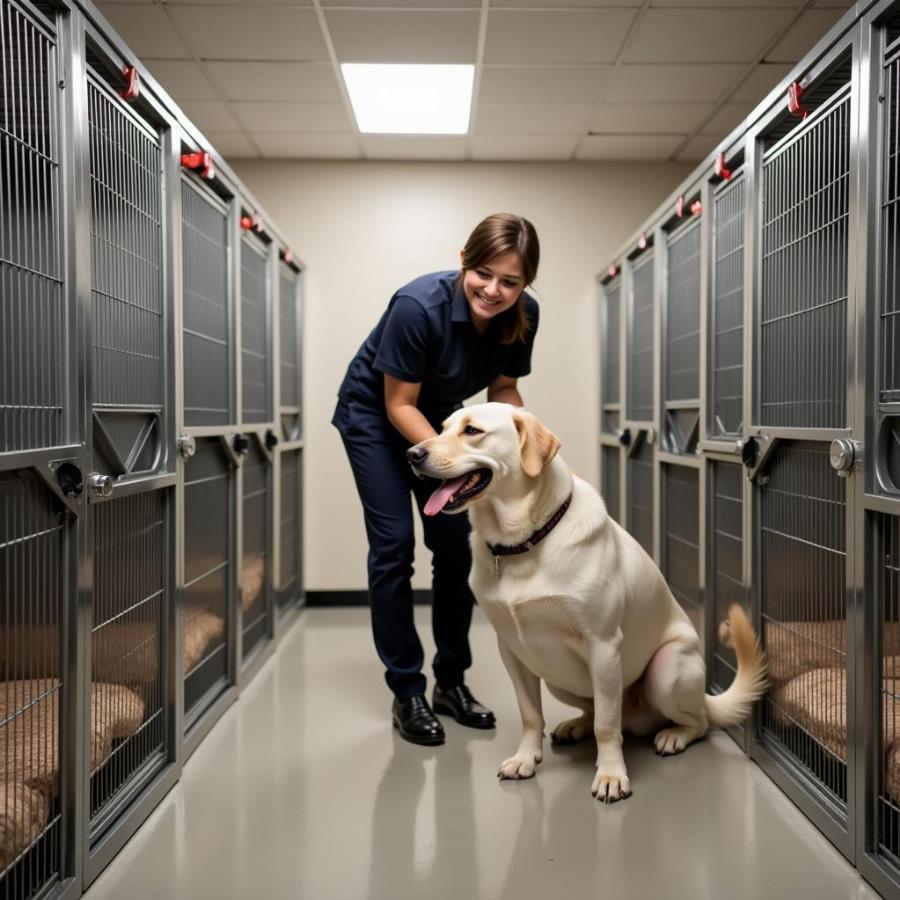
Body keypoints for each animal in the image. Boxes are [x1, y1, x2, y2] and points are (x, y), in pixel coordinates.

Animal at [408, 400, 768, 800]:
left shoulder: (603, 646)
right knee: (599, 712)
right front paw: (525, 759)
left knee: (694, 722)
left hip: (666, 670)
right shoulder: (512, 650)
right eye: (442, 428)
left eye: (472, 430)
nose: (412, 454)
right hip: (556, 676)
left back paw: (674, 735)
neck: (523, 541)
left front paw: (611, 775)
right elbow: (531, 714)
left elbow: (607, 727)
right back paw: (575, 726)